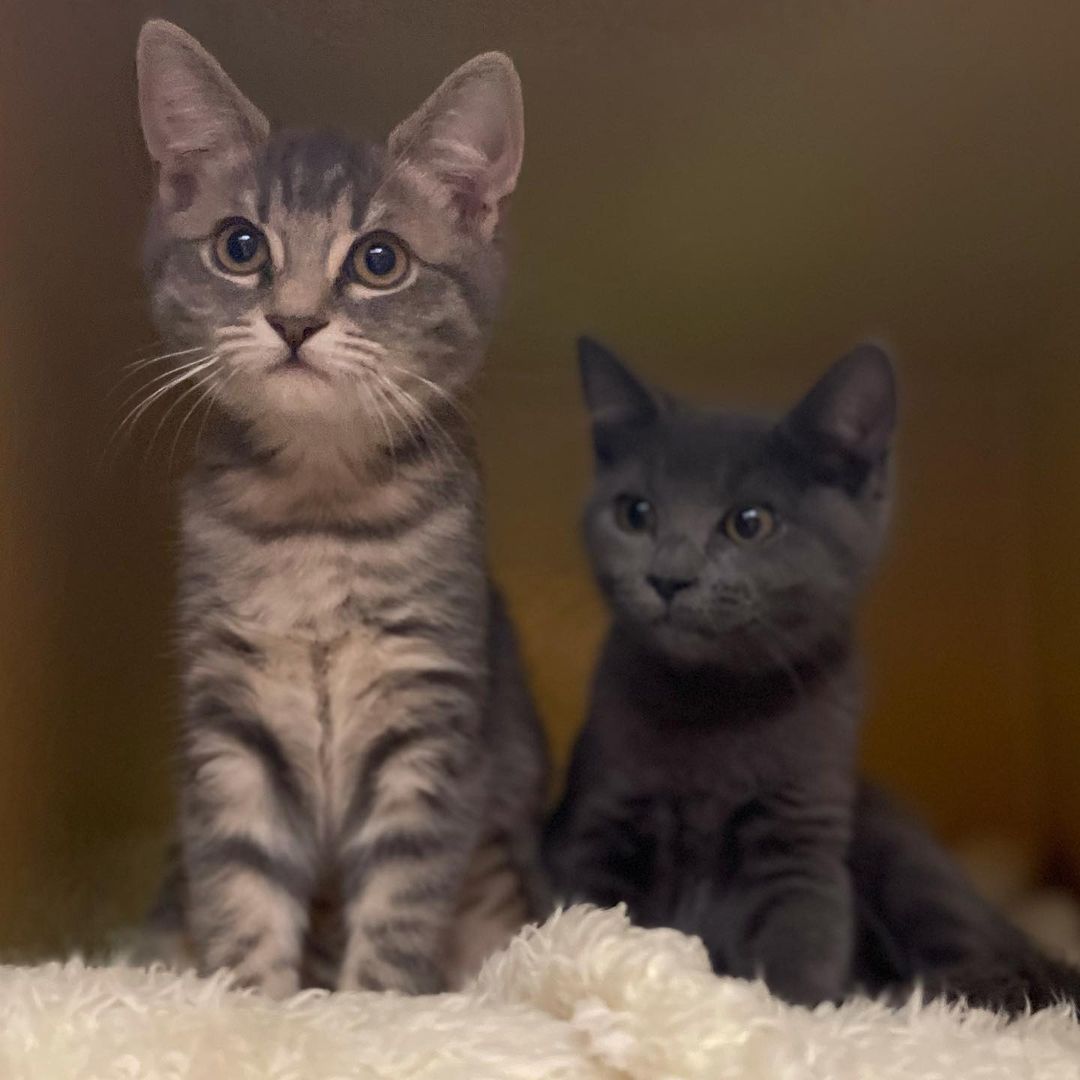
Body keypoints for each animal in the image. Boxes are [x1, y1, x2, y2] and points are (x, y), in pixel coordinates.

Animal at [135, 19, 548, 993]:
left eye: (379, 260)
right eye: (240, 247)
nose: (294, 321)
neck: (317, 511)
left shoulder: (430, 717)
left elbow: (400, 900)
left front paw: (367, 1008)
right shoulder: (230, 721)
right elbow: (240, 881)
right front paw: (252, 1001)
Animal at [548, 336, 1080, 1010]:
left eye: (750, 522)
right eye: (636, 513)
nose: (669, 577)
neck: (713, 702)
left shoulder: (803, 835)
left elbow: (803, 941)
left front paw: (794, 1011)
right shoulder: (602, 820)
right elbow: (590, 916)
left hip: (905, 861)